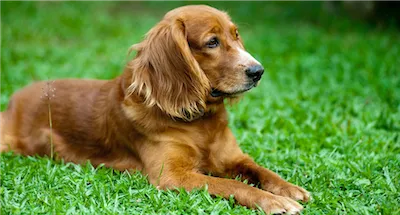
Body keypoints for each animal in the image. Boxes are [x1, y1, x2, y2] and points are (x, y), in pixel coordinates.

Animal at [0, 5, 310, 215]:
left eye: (236, 36)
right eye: (212, 42)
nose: (258, 71)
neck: (200, 121)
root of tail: (15, 98)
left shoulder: (233, 158)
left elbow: (261, 171)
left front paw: (289, 189)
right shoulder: (173, 176)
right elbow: (233, 186)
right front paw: (275, 202)